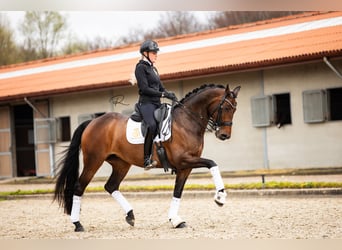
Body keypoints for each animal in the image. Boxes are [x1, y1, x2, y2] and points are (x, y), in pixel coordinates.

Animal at [54, 83, 240, 231]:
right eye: (226, 108)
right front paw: (220, 197)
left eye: (235, 109)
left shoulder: (185, 167)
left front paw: (175, 220)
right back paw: (77, 224)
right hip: (94, 160)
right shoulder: (184, 160)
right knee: (79, 187)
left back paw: (130, 215)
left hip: (121, 164)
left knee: (111, 186)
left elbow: (178, 192)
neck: (187, 122)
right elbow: (212, 163)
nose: (224, 135)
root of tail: (92, 122)